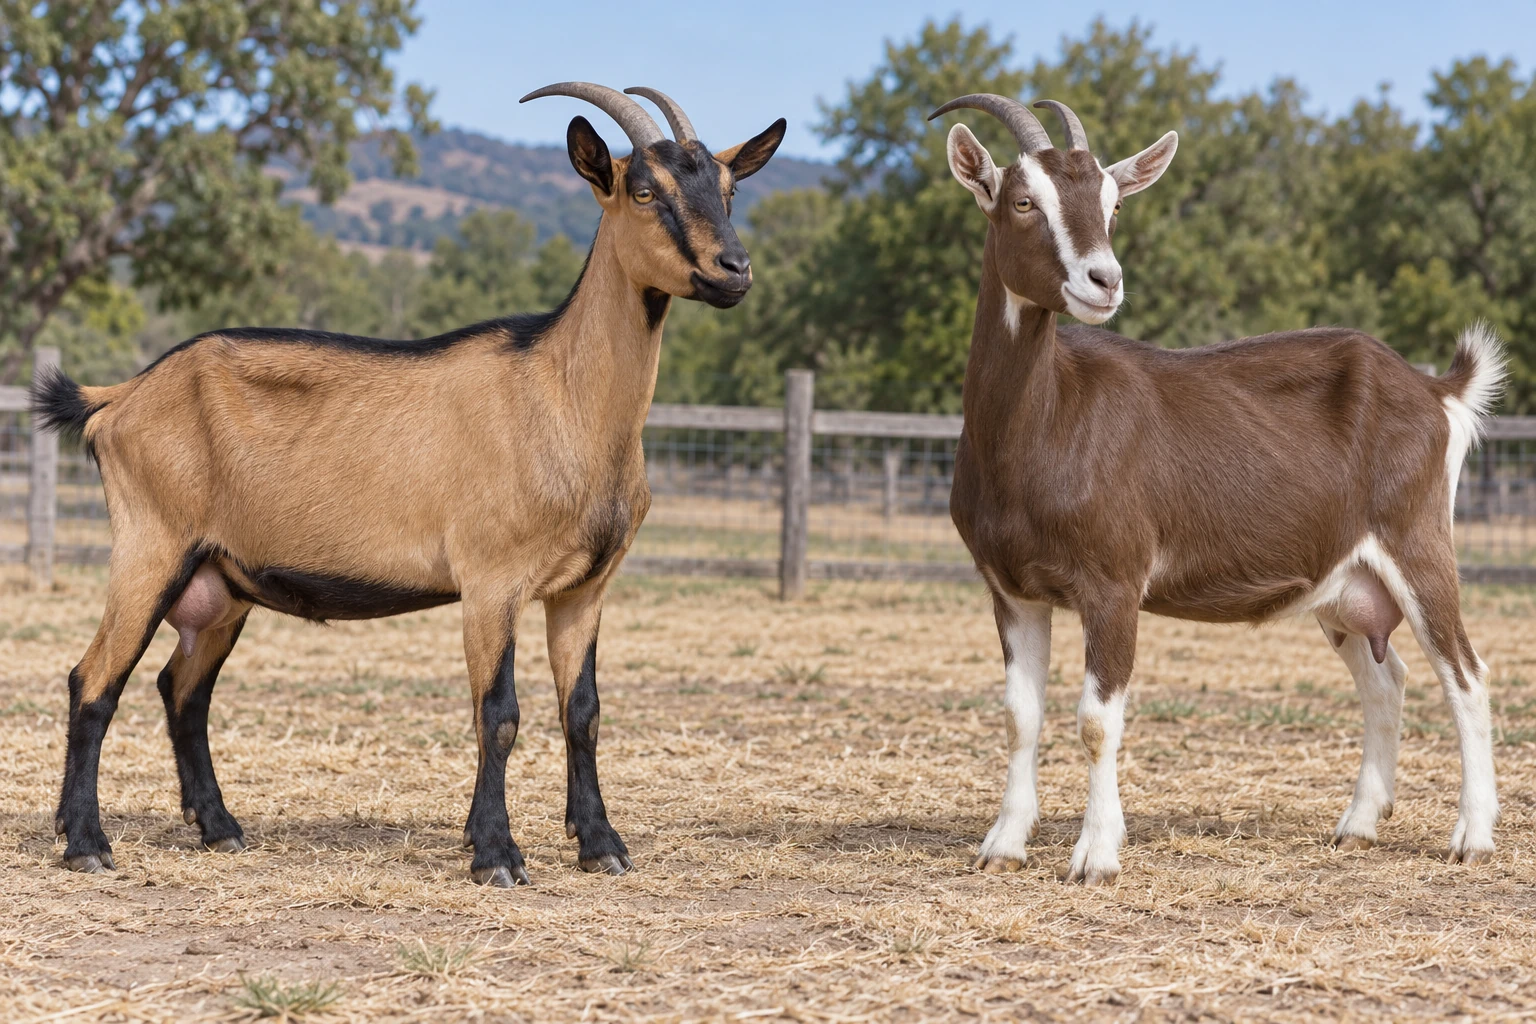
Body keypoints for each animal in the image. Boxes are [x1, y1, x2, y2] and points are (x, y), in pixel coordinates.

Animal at [32, 83, 785, 887]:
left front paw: (601, 845)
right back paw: (86, 843)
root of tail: (120, 398)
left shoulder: (586, 587)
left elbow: (581, 711)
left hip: (220, 582)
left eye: (730, 189)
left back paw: (220, 829)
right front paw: (495, 855)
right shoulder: (490, 580)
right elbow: (499, 713)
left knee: (182, 690)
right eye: (644, 191)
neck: (560, 396)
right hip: (151, 547)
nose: (735, 268)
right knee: (92, 681)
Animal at [929, 94, 1504, 883]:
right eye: (1022, 202)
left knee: (1466, 676)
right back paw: (1357, 825)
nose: (1103, 280)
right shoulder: (1011, 588)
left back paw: (1472, 836)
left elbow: (1096, 720)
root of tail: (1434, 389)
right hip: (1343, 582)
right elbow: (1021, 715)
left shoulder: (1114, 581)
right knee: (1385, 683)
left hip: (1416, 542)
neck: (1048, 420)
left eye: (1111, 203)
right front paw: (1004, 843)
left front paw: (1095, 855)